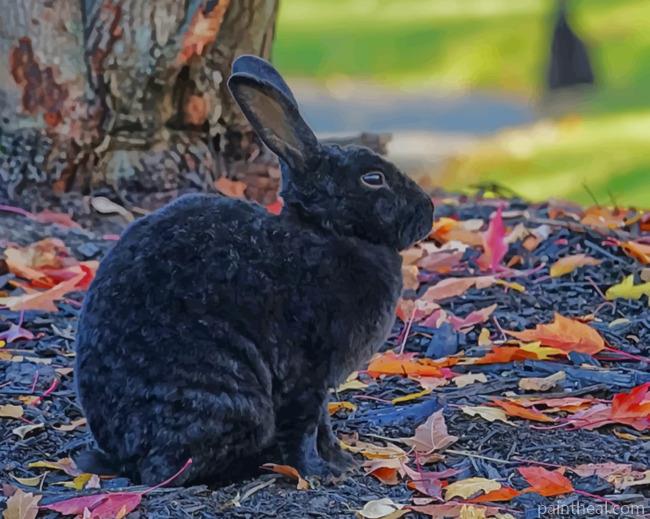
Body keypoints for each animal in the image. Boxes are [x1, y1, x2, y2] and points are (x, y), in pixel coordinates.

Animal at [74, 54, 434, 486]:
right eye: (373, 178)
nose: (428, 211)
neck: (326, 230)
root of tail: (123, 457)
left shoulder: (319, 383)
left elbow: (324, 424)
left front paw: (343, 461)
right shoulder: (306, 374)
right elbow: (305, 427)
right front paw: (320, 472)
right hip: (230, 398)